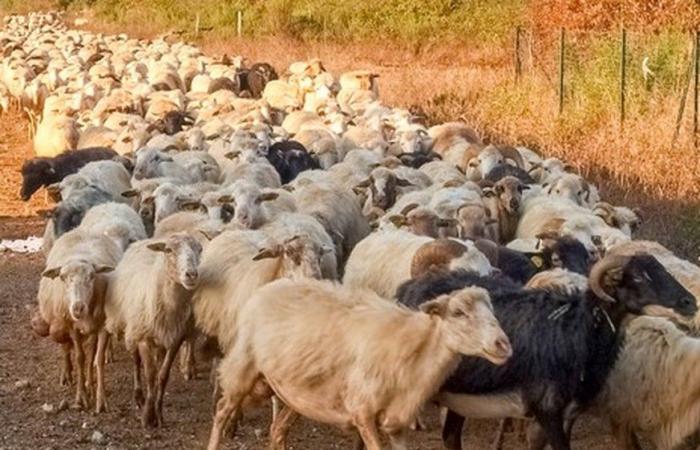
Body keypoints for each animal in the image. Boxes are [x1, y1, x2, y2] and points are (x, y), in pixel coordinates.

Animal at [102, 234, 204, 428]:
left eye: (199, 249)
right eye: (169, 250)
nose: (192, 274)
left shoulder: (175, 339)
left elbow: (162, 376)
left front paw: (159, 414)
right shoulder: (144, 337)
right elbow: (150, 374)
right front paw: (148, 416)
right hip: (133, 327)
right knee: (136, 362)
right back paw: (138, 396)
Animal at [206, 278, 508, 450]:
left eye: (492, 311)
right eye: (459, 312)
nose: (503, 344)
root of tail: (266, 288)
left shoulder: (397, 422)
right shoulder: (363, 412)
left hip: (296, 393)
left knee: (278, 430)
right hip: (243, 368)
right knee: (221, 412)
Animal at [396, 253, 696, 450]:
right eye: (638, 276)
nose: (689, 301)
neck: (574, 328)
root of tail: (407, 288)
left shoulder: (566, 414)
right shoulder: (547, 410)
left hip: (460, 396)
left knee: (450, 437)